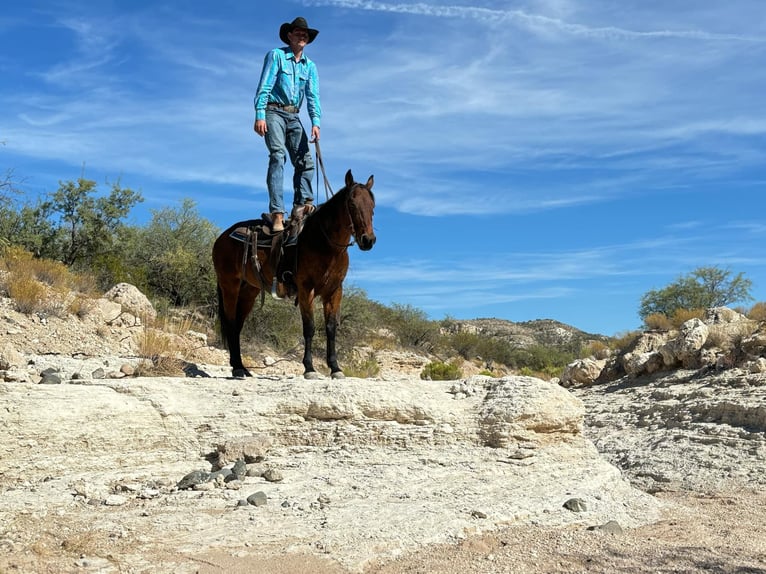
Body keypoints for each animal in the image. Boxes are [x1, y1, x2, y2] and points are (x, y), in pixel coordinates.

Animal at [212, 169, 376, 380]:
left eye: (372, 206)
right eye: (352, 204)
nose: (368, 240)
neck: (326, 244)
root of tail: (222, 237)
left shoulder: (334, 291)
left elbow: (331, 329)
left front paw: (335, 368)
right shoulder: (306, 289)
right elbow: (309, 328)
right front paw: (309, 368)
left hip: (249, 290)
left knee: (238, 325)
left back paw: (241, 367)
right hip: (229, 285)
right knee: (231, 323)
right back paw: (238, 368)